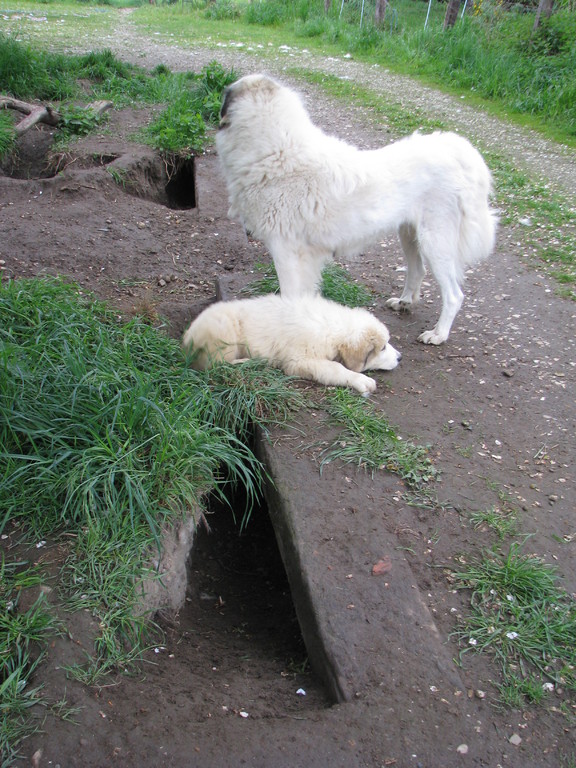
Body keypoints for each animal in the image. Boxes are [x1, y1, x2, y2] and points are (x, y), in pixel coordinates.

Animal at [183, 296, 400, 396]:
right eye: (383, 348)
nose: (400, 357)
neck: (332, 327)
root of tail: (186, 339)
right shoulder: (300, 360)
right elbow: (336, 368)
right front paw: (362, 380)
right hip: (223, 332)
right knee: (215, 365)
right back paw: (249, 362)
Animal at [214, 74, 498, 344]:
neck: (277, 153)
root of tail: (457, 149)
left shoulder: (286, 253)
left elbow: (289, 298)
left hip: (436, 241)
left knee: (454, 294)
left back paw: (438, 334)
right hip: (409, 235)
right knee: (418, 271)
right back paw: (404, 302)